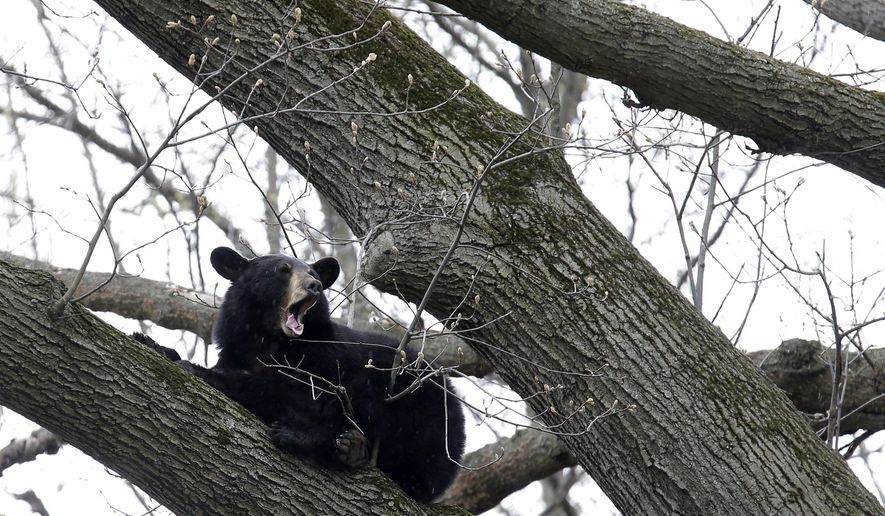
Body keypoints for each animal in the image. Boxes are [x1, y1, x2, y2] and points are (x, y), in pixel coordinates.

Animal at [136, 246, 466, 503]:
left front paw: (201, 370)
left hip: (422, 418)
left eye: (314, 273)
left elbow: (292, 393)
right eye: (283, 270)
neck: (268, 340)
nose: (314, 285)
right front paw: (153, 344)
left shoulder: (323, 360)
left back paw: (325, 443)